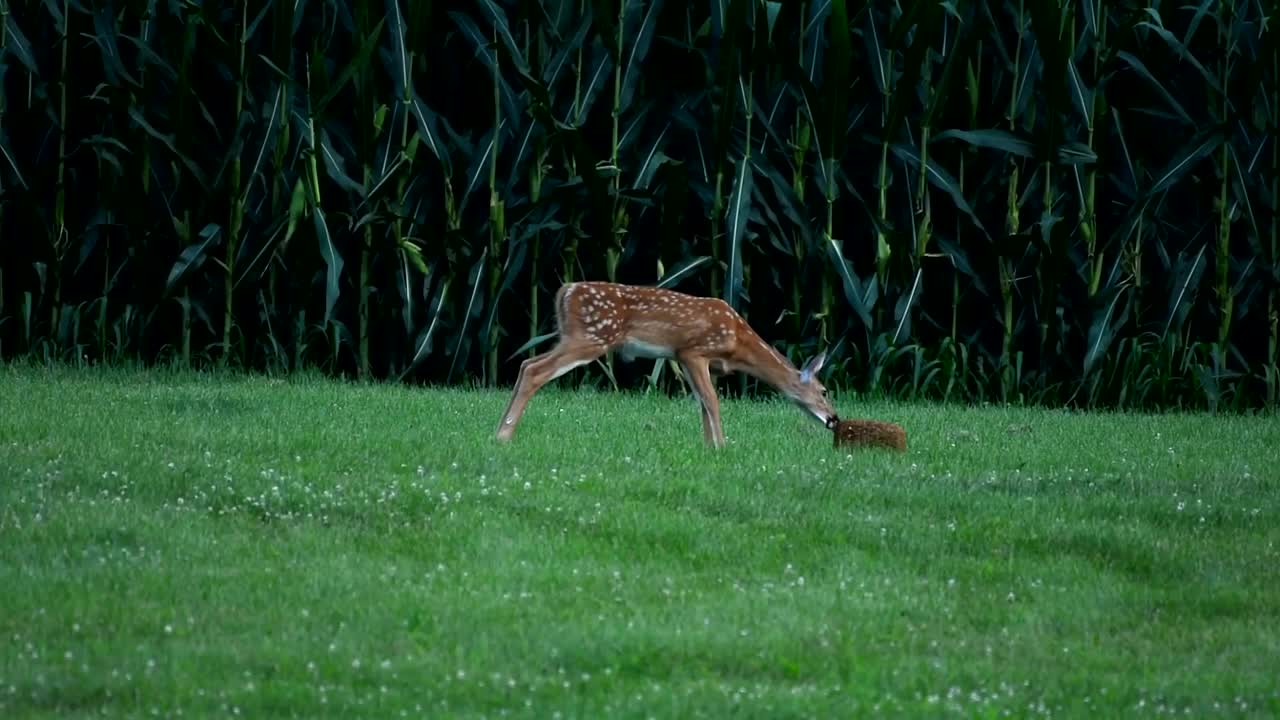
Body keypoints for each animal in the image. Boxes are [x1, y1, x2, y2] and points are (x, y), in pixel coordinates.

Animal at [491, 278, 839, 445]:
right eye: (824, 391)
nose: (834, 418)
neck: (739, 343)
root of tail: (566, 290)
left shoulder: (683, 358)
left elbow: (702, 402)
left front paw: (709, 447)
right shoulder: (692, 350)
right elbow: (712, 401)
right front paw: (722, 446)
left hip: (571, 336)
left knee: (525, 364)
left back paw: (497, 432)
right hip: (592, 338)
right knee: (536, 370)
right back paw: (504, 436)